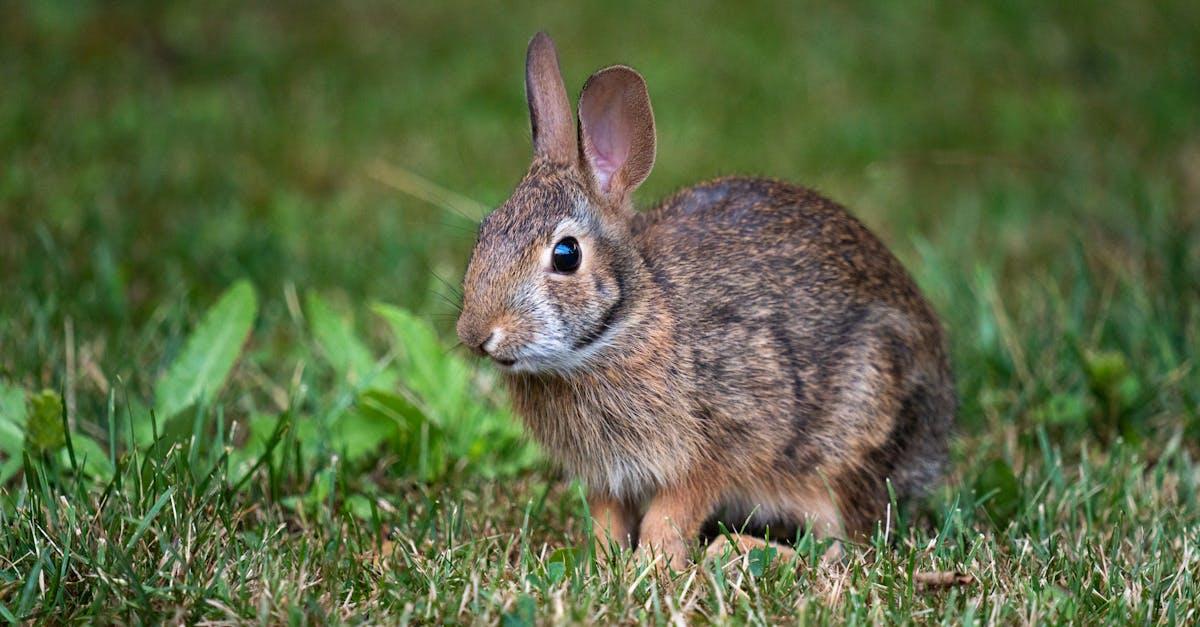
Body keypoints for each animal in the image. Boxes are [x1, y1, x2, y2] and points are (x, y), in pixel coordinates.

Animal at [456, 32, 955, 570]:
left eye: (566, 255)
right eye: (485, 232)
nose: (476, 334)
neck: (624, 325)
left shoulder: (721, 442)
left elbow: (674, 511)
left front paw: (655, 566)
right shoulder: (607, 477)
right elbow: (607, 518)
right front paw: (604, 564)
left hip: (849, 441)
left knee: (842, 548)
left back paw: (737, 550)